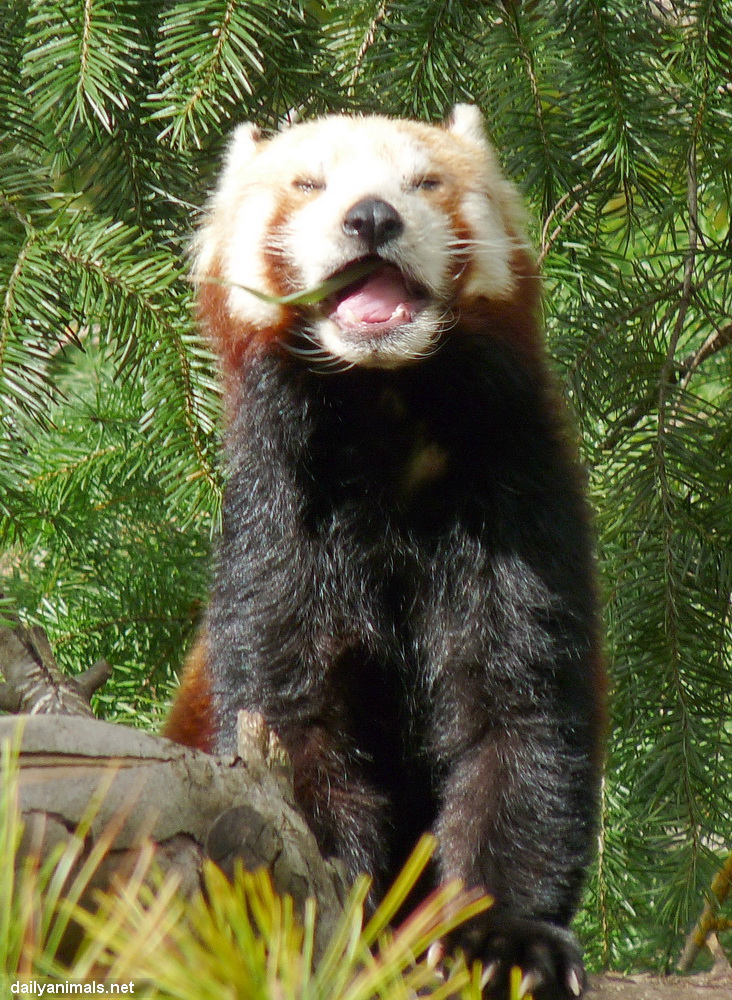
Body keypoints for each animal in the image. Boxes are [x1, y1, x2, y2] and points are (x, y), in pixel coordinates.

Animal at [167, 105, 608, 996]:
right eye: (308, 184)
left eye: (424, 182)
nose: (370, 218)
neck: (383, 412)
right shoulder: (279, 536)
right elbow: (297, 732)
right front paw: (328, 914)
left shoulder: (518, 509)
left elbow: (521, 724)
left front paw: (502, 934)